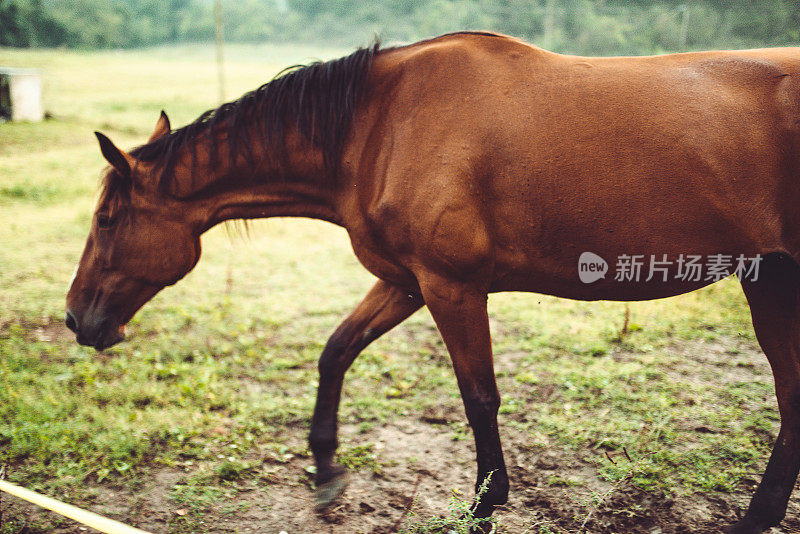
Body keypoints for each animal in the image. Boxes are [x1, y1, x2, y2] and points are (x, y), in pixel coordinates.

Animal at [67, 32, 800, 532]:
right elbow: (336, 352)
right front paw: (326, 471)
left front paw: (485, 503)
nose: (76, 318)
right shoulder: (406, 282)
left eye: (107, 218)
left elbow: (479, 397)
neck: (377, 127)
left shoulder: (451, 288)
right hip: (772, 281)